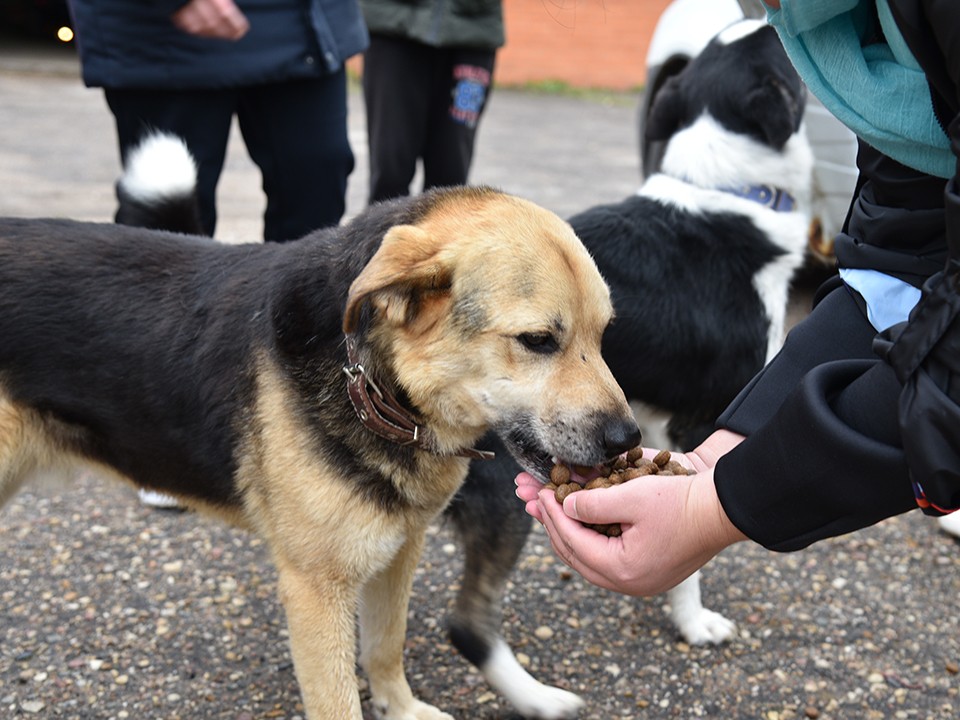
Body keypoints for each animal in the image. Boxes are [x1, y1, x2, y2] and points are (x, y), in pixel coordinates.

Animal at [1, 179, 644, 716]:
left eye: (605, 334)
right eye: (537, 341)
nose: (628, 440)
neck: (368, 380)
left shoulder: (398, 550)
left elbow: (384, 646)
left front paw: (401, 711)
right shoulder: (316, 591)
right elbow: (338, 699)